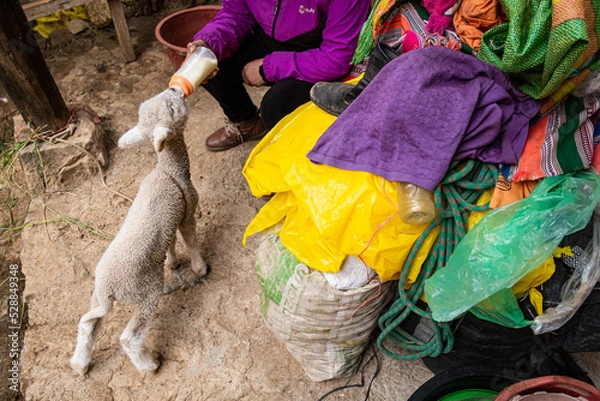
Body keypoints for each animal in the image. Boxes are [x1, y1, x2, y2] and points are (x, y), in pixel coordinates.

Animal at [69, 86, 206, 374]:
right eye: (172, 109)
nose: (175, 87)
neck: (169, 169)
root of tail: (109, 289)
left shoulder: (170, 219)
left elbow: (171, 243)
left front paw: (173, 262)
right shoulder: (187, 210)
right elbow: (190, 239)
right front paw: (200, 268)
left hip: (97, 296)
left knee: (87, 325)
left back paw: (80, 364)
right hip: (145, 292)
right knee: (128, 337)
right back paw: (148, 364)